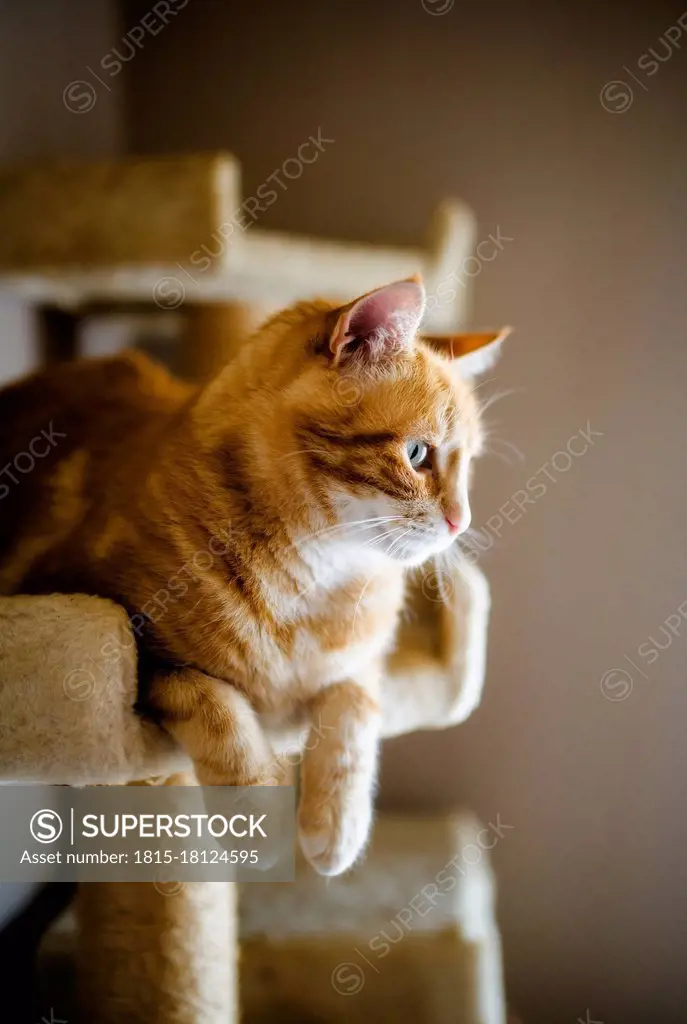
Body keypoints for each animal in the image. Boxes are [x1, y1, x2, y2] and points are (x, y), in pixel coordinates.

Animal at [0, 278, 505, 872]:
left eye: (468, 465)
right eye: (418, 453)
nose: (460, 521)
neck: (312, 582)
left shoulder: (361, 661)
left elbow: (355, 705)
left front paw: (336, 825)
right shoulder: (116, 625)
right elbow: (213, 702)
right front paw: (258, 821)